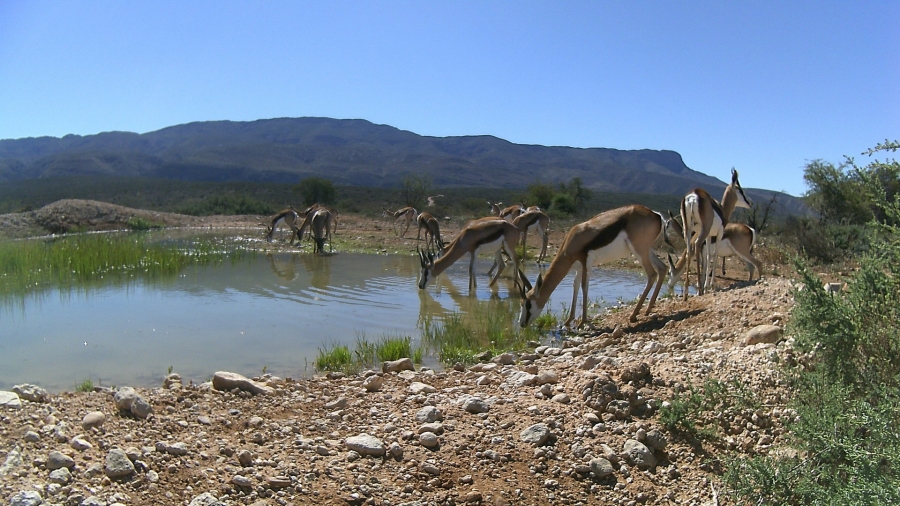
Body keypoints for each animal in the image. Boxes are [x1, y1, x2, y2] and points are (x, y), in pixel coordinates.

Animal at [512, 205, 668, 328]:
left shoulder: (586, 263)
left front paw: (583, 322)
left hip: (639, 251)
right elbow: (575, 286)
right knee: (662, 268)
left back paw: (634, 315)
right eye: (520, 303)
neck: (572, 240)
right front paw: (569, 321)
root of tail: (655, 214)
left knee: (652, 274)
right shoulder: (579, 267)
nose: (522, 324)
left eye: (528, 304)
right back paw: (648, 310)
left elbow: (584, 286)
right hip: (647, 250)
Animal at [676, 168, 752, 298]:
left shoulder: (709, 236)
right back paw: (700, 289)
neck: (722, 211)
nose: (749, 203)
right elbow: (715, 255)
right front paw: (710, 286)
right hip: (703, 230)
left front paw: (706, 286)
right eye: (741, 190)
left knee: (689, 251)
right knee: (696, 245)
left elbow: (708, 256)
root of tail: (692, 196)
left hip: (688, 230)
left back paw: (686, 292)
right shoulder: (719, 233)